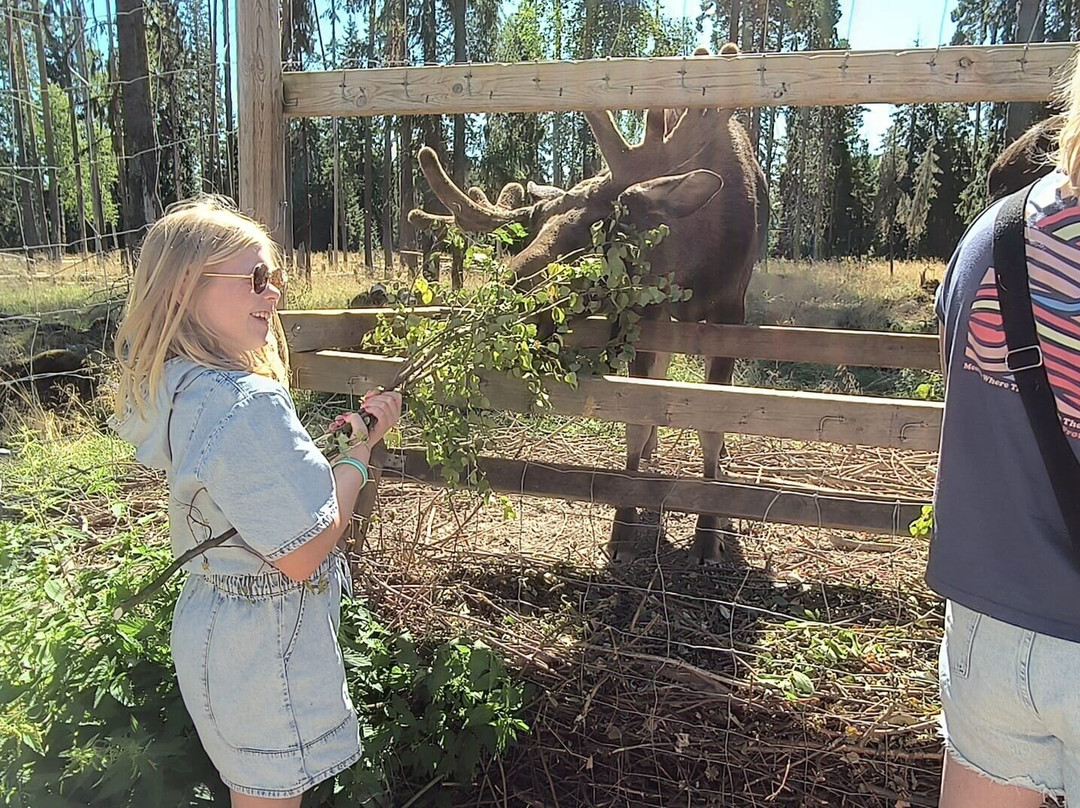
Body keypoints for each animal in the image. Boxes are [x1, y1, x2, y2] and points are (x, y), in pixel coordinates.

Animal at [408, 45, 769, 564]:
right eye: (534, 232)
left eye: (592, 234)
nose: (503, 295)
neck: (692, 256)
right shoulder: (642, 312)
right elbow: (637, 417)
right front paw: (624, 526)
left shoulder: (729, 311)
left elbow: (712, 425)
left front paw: (708, 534)